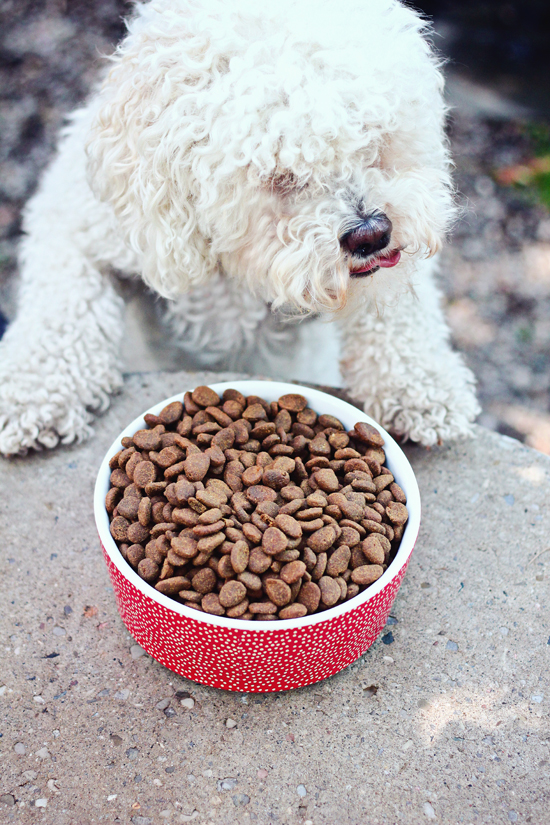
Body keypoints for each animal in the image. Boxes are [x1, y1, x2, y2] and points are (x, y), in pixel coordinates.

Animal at [0, 0, 480, 454]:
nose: (372, 234)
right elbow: (62, 303)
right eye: (280, 175)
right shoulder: (79, 218)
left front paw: (424, 387)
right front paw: (31, 393)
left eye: (375, 138)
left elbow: (399, 311)